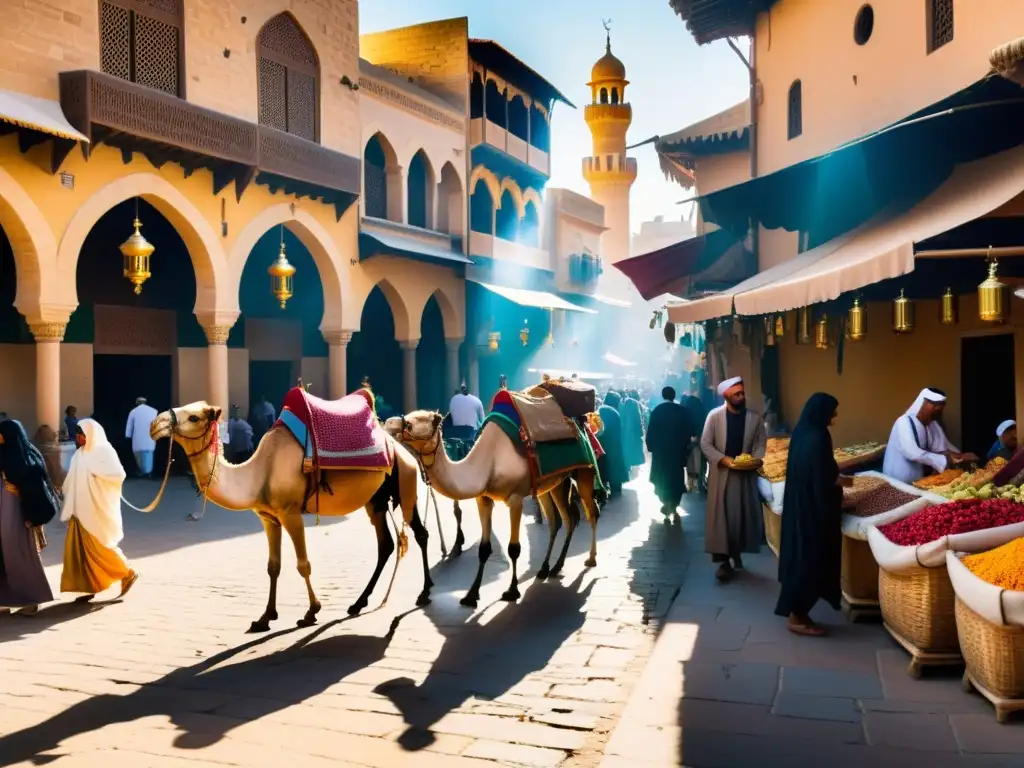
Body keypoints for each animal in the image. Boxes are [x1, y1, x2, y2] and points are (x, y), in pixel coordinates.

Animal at [149, 403, 430, 630]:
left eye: (194, 417)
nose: (155, 424)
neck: (259, 473)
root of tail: (400, 448)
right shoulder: (268, 518)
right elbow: (273, 566)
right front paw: (265, 618)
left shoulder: (290, 513)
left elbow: (303, 564)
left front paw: (311, 612)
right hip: (376, 500)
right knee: (386, 544)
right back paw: (358, 603)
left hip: (405, 482)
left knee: (420, 533)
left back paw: (424, 593)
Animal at [393, 409, 598, 606]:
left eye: (410, 423)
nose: (390, 425)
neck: (488, 464)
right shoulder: (483, 499)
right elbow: (484, 549)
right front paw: (471, 596)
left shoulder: (515, 499)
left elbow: (514, 548)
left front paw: (512, 591)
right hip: (551, 484)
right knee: (560, 520)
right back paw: (548, 568)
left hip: (585, 471)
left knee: (589, 512)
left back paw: (589, 559)